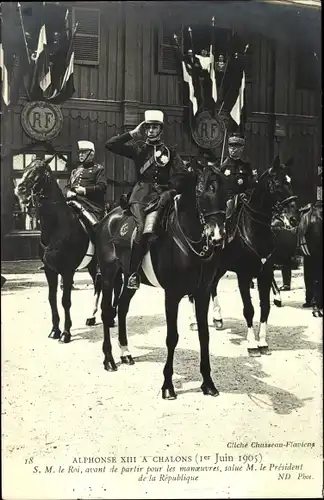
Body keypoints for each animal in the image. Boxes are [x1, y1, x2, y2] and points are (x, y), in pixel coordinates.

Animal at [14, 157, 101, 344]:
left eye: (39, 170)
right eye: (26, 168)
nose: (20, 188)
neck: (56, 228)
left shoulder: (67, 271)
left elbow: (65, 301)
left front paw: (66, 333)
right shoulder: (50, 270)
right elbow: (52, 299)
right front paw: (54, 330)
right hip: (91, 265)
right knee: (98, 285)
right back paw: (92, 317)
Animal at [96, 166, 228, 400]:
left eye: (226, 193)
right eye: (203, 192)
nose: (217, 237)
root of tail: (108, 218)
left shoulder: (202, 293)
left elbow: (204, 335)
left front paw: (208, 383)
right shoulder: (172, 295)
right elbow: (172, 337)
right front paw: (168, 385)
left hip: (129, 278)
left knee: (122, 308)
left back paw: (125, 353)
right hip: (109, 275)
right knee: (106, 311)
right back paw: (109, 359)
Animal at [190, 156, 298, 356]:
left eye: (290, 181)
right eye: (276, 183)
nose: (294, 218)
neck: (254, 230)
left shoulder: (265, 274)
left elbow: (265, 308)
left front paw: (262, 341)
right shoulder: (243, 275)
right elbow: (249, 309)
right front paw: (252, 344)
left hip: (220, 266)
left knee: (213, 286)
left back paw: (217, 317)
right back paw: (194, 320)